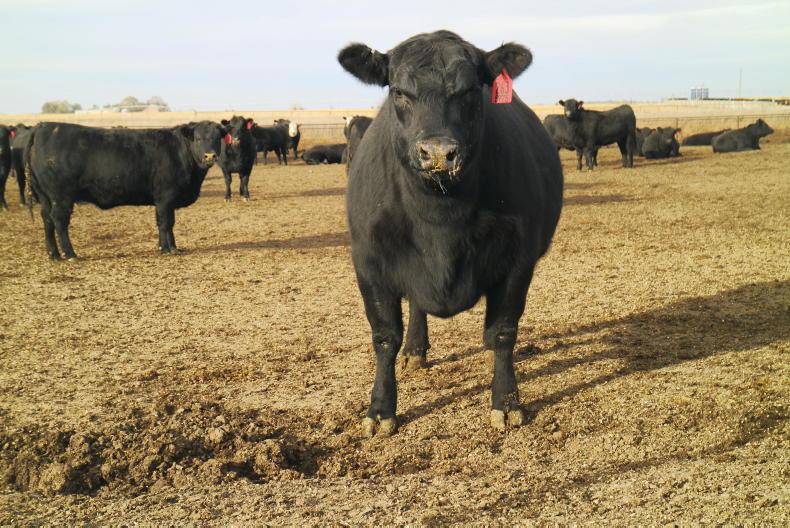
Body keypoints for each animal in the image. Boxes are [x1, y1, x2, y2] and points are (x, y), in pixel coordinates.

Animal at [24, 121, 225, 260]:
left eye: (217, 138)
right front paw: (168, 249)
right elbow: (166, 223)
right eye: (198, 138)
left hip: (45, 196)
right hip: (61, 196)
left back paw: (54, 254)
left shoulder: (163, 201)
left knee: (47, 220)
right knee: (59, 221)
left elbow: (164, 223)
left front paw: (167, 247)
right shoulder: (165, 197)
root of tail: (43, 126)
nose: (210, 156)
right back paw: (70, 254)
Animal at [338, 30, 563, 437]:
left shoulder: (518, 262)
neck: (439, 222)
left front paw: (506, 403)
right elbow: (384, 337)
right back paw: (415, 352)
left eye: (471, 90)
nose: (439, 152)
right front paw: (380, 411)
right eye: (398, 91)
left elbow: (503, 331)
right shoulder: (369, 264)